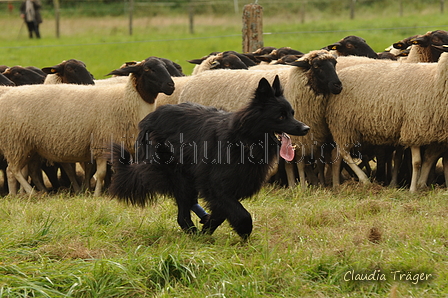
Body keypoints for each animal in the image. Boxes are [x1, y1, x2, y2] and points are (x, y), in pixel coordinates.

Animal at [0, 56, 175, 196]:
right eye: (148, 69)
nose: (171, 85)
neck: (125, 101)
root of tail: (8, 94)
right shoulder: (101, 143)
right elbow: (102, 173)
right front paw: (97, 195)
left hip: (31, 146)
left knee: (27, 171)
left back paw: (26, 194)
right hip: (15, 142)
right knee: (13, 170)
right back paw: (27, 193)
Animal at [110, 76, 310, 240]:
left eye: (292, 113)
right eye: (281, 116)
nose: (306, 128)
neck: (242, 139)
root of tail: (150, 118)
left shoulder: (228, 188)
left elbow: (221, 213)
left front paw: (207, 228)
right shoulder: (215, 185)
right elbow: (242, 215)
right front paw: (243, 232)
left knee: (186, 207)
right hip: (179, 176)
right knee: (182, 213)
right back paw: (193, 235)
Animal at [178, 50, 344, 187]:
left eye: (335, 64)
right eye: (316, 66)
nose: (338, 85)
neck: (293, 82)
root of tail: (194, 79)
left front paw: (318, 184)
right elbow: (294, 162)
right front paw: (298, 186)